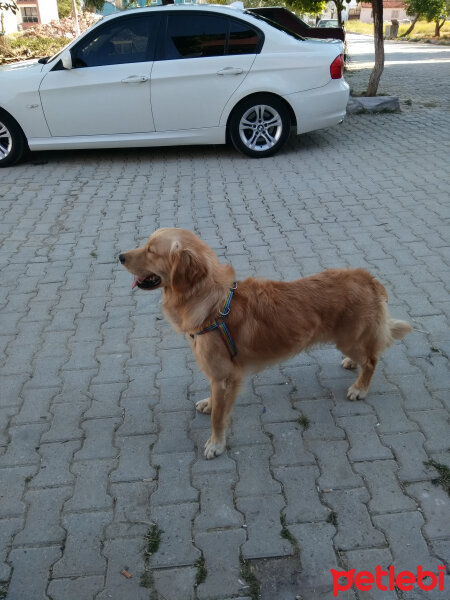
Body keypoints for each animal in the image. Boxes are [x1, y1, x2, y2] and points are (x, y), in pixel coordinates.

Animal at [118, 229, 412, 460]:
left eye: (151, 250)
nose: (119, 256)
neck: (213, 305)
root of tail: (369, 278)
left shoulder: (225, 377)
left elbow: (218, 418)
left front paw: (216, 444)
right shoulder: (218, 376)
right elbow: (215, 402)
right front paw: (209, 403)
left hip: (349, 339)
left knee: (372, 359)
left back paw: (360, 387)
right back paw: (353, 365)